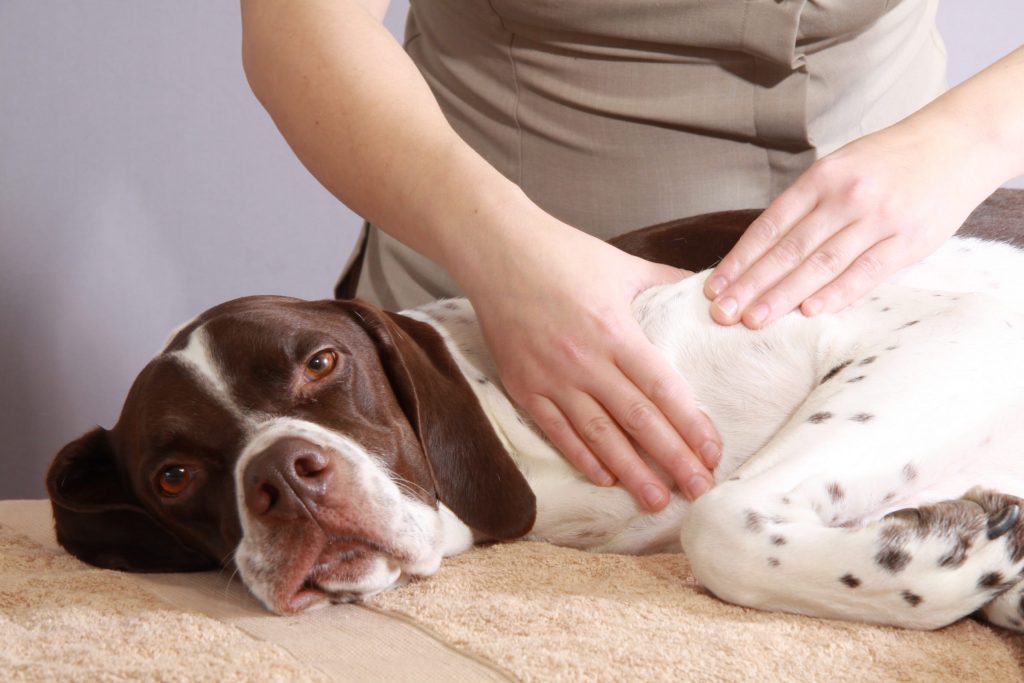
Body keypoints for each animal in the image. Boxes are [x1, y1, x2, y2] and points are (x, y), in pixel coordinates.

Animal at [49, 206, 1024, 630]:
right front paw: (968, 557)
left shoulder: (965, 328)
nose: (283, 478)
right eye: (175, 474)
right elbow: (724, 525)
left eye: (321, 362)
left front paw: (969, 553)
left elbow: (719, 522)